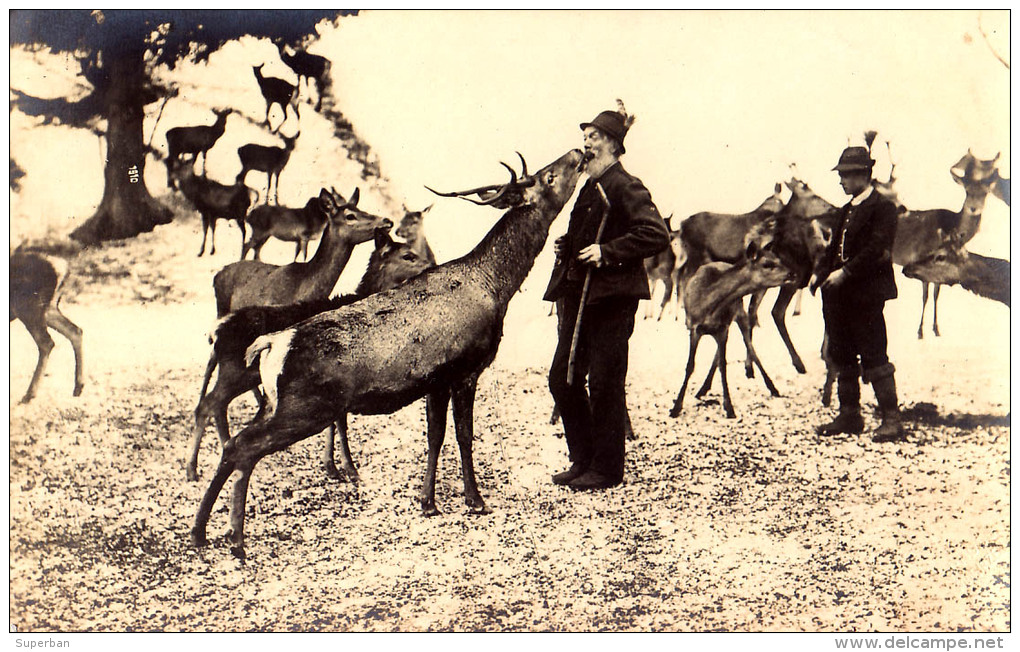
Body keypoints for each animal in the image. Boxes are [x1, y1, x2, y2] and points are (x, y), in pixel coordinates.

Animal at [9, 246, 85, 406]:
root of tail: (62, 267)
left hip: (28, 307)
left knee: (46, 342)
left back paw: (29, 394)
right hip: (48, 308)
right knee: (75, 331)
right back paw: (78, 387)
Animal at [189, 226, 432, 481]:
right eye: (408, 256)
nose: (431, 265)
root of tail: (216, 333)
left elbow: (335, 422)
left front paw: (332, 466)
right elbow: (340, 424)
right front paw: (348, 469)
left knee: (215, 405)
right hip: (235, 372)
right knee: (208, 404)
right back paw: (192, 469)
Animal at [665, 238, 799, 418]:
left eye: (779, 259)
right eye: (767, 264)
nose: (793, 273)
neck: (709, 304)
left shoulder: (723, 329)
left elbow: (724, 366)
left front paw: (729, 408)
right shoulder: (694, 327)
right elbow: (690, 365)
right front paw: (676, 407)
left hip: (738, 313)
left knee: (749, 345)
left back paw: (772, 386)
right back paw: (702, 389)